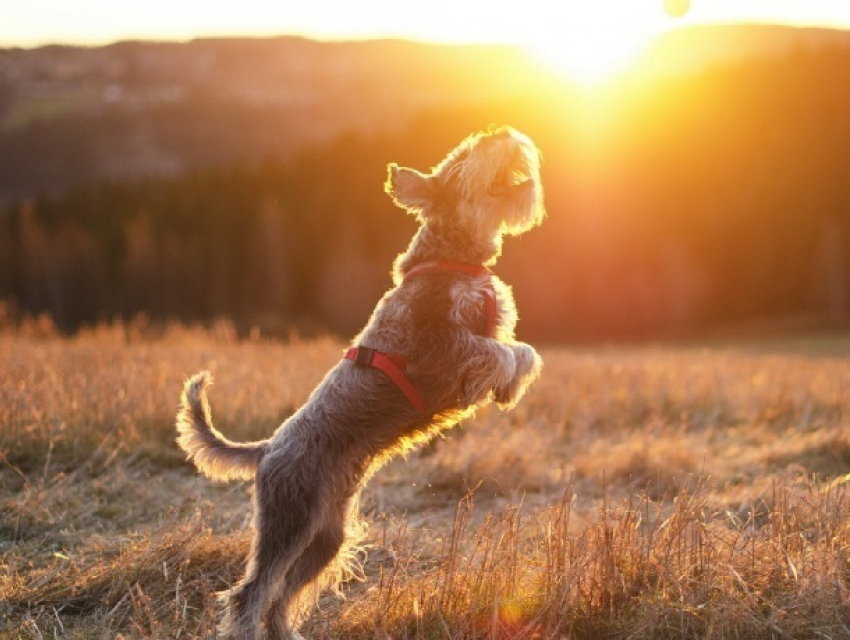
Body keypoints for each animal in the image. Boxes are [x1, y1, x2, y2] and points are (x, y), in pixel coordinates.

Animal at [176, 126, 544, 640]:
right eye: (466, 153)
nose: (502, 131)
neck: (451, 256)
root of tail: (268, 447)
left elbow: (521, 349)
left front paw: (511, 386)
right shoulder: (440, 349)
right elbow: (496, 351)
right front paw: (502, 380)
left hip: (326, 537)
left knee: (283, 595)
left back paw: (290, 634)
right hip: (289, 520)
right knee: (250, 592)